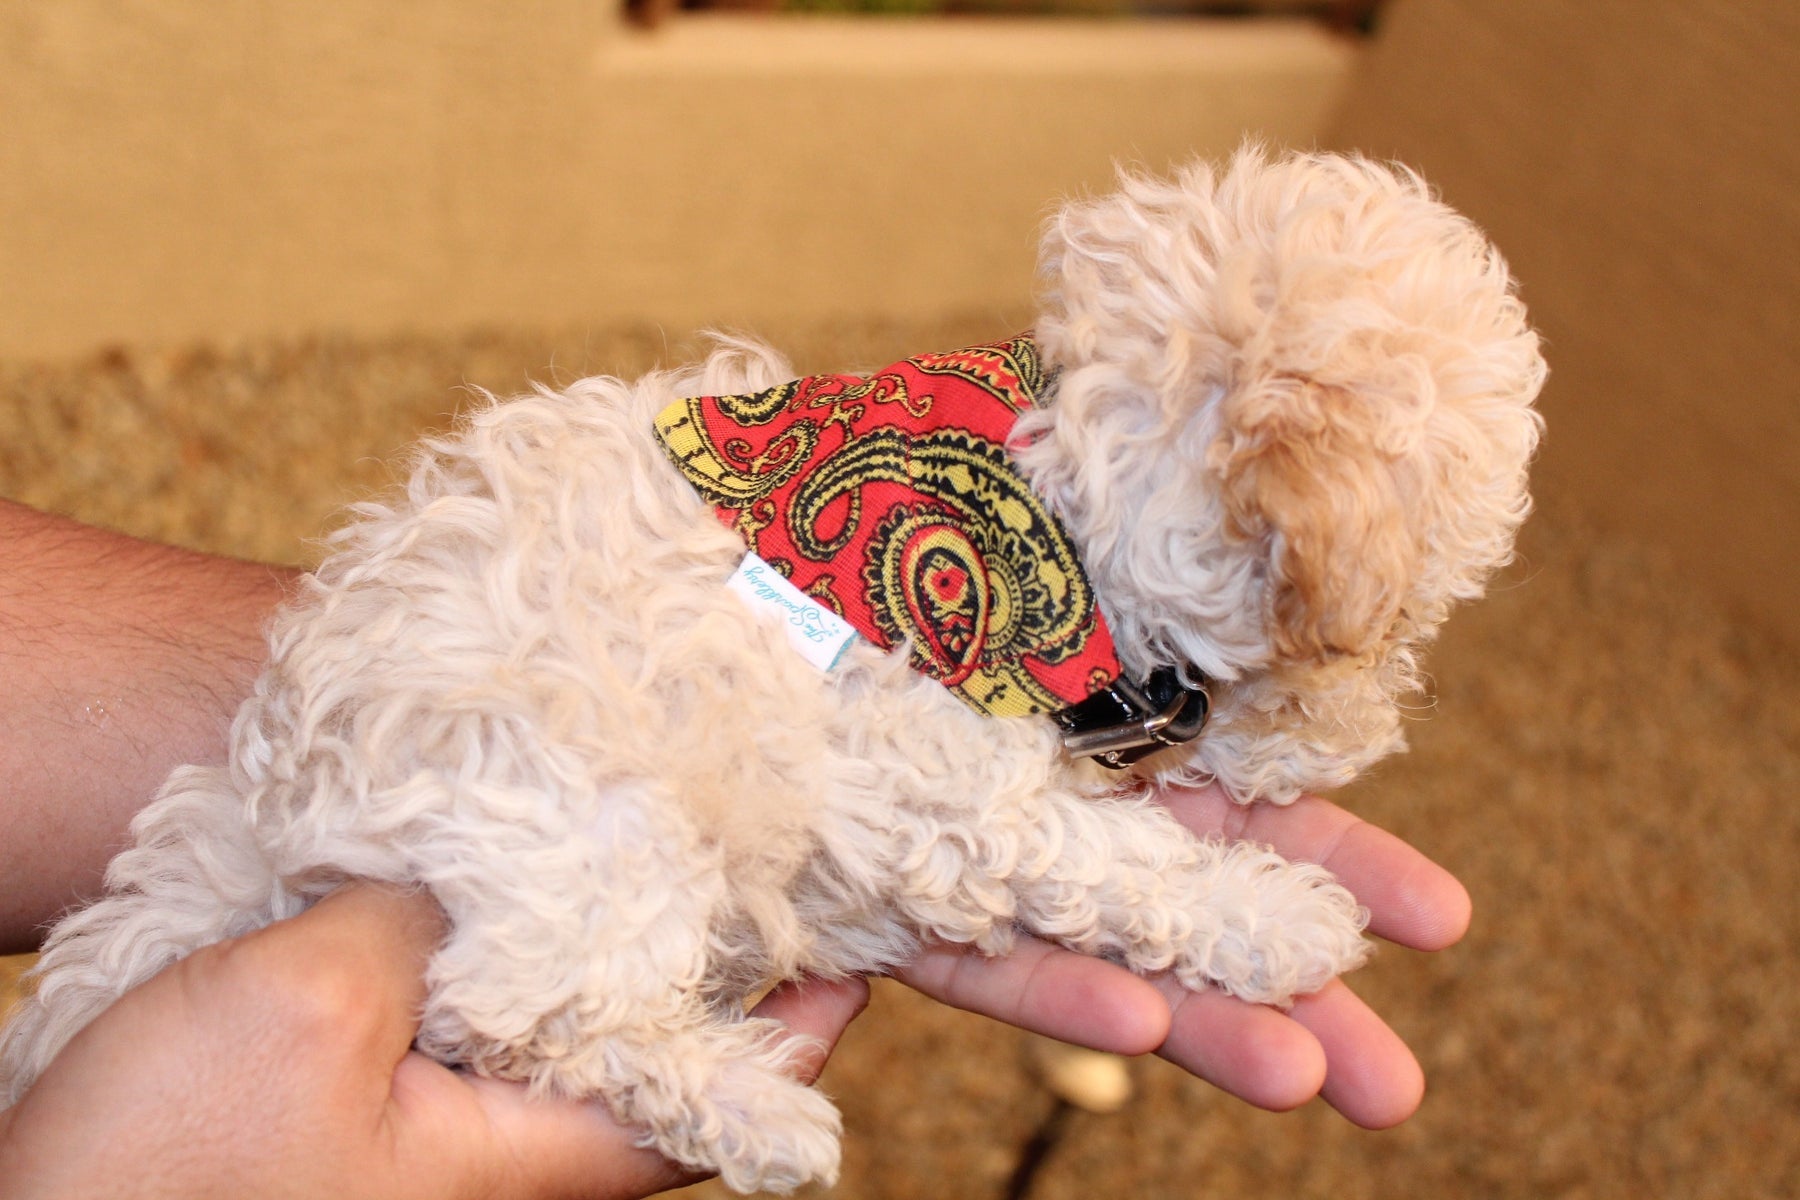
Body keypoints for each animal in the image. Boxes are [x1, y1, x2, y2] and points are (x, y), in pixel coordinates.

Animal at [0, 147, 1548, 1194]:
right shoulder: (937, 778)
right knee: (513, 1015)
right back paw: (759, 1111)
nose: (1363, 733)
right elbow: (1111, 862)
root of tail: (259, 816)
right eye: (1415, 616)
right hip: (608, 848)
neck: (1049, 492)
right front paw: (1271, 910)